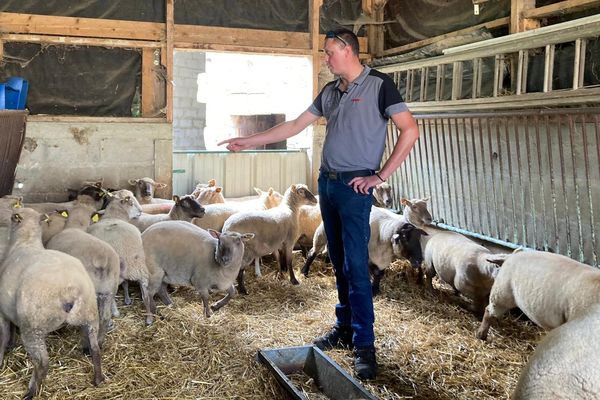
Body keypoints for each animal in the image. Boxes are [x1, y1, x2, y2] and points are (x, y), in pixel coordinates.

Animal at [0, 208, 102, 398]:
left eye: (12, 217)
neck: (26, 241)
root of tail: (71, 290)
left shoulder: (2, 312)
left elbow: (3, 337)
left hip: (33, 326)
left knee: (42, 363)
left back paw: (31, 392)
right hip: (90, 316)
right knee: (95, 348)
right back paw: (98, 379)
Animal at [87, 191, 158, 324]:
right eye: (132, 202)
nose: (141, 211)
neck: (113, 216)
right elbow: (126, 284)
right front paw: (127, 300)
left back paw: (114, 313)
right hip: (141, 269)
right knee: (146, 295)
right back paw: (149, 318)